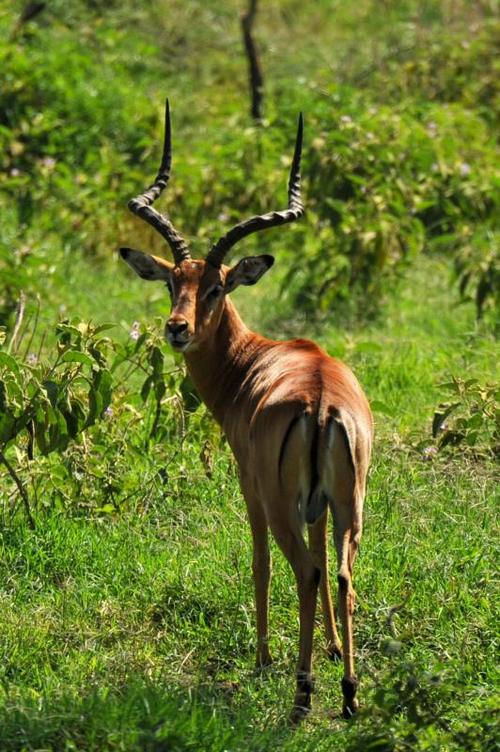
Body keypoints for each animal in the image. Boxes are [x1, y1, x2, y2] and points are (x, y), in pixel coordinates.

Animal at [119, 101, 374, 724]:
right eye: (172, 283)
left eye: (216, 287)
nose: (176, 328)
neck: (251, 364)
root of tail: (321, 401)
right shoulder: (320, 505)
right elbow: (325, 567)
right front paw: (333, 649)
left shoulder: (249, 484)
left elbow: (259, 565)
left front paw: (262, 658)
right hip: (352, 503)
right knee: (340, 572)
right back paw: (349, 693)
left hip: (281, 503)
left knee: (302, 570)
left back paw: (302, 696)